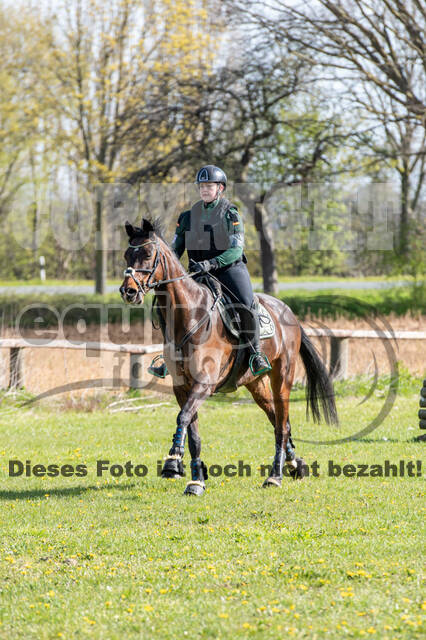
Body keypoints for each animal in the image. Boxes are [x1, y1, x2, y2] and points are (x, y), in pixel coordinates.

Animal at [119, 219, 336, 496]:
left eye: (147, 254)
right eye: (127, 255)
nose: (128, 291)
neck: (189, 316)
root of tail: (288, 311)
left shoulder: (205, 382)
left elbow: (183, 417)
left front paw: (173, 461)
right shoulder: (182, 386)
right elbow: (192, 430)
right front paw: (195, 479)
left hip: (282, 378)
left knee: (281, 425)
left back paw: (275, 476)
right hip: (256, 384)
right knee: (278, 420)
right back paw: (295, 465)